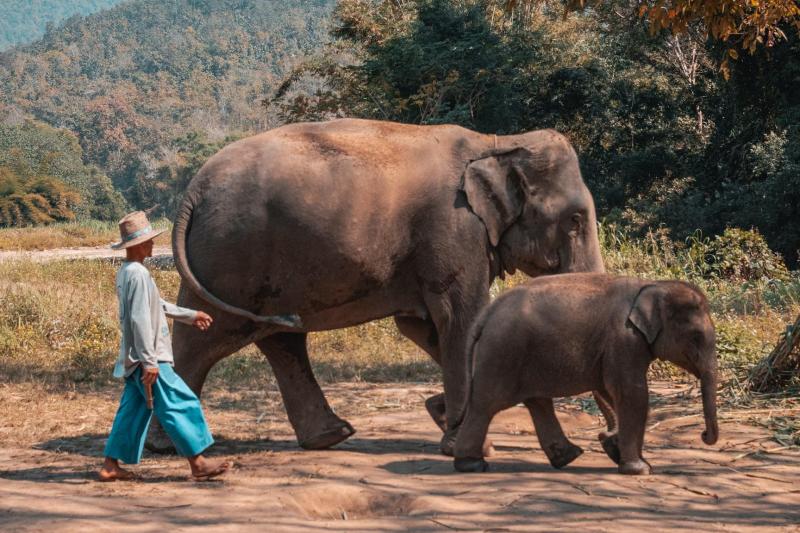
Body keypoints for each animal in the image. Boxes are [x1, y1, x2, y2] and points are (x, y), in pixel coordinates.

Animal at [147, 118, 605, 454]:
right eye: (575, 220)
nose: (606, 443)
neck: (499, 142)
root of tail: (192, 192)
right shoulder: (453, 230)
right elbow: (461, 319)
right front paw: (463, 441)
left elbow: (424, 327)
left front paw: (443, 416)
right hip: (232, 257)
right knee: (205, 338)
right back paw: (169, 447)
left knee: (279, 338)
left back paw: (330, 436)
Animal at [453, 273, 719, 475]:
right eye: (696, 337)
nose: (703, 434)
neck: (652, 285)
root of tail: (487, 313)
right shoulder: (624, 340)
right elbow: (632, 394)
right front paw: (640, 469)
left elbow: (611, 392)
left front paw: (617, 450)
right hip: (502, 353)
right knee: (486, 404)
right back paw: (471, 464)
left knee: (537, 402)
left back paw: (568, 457)